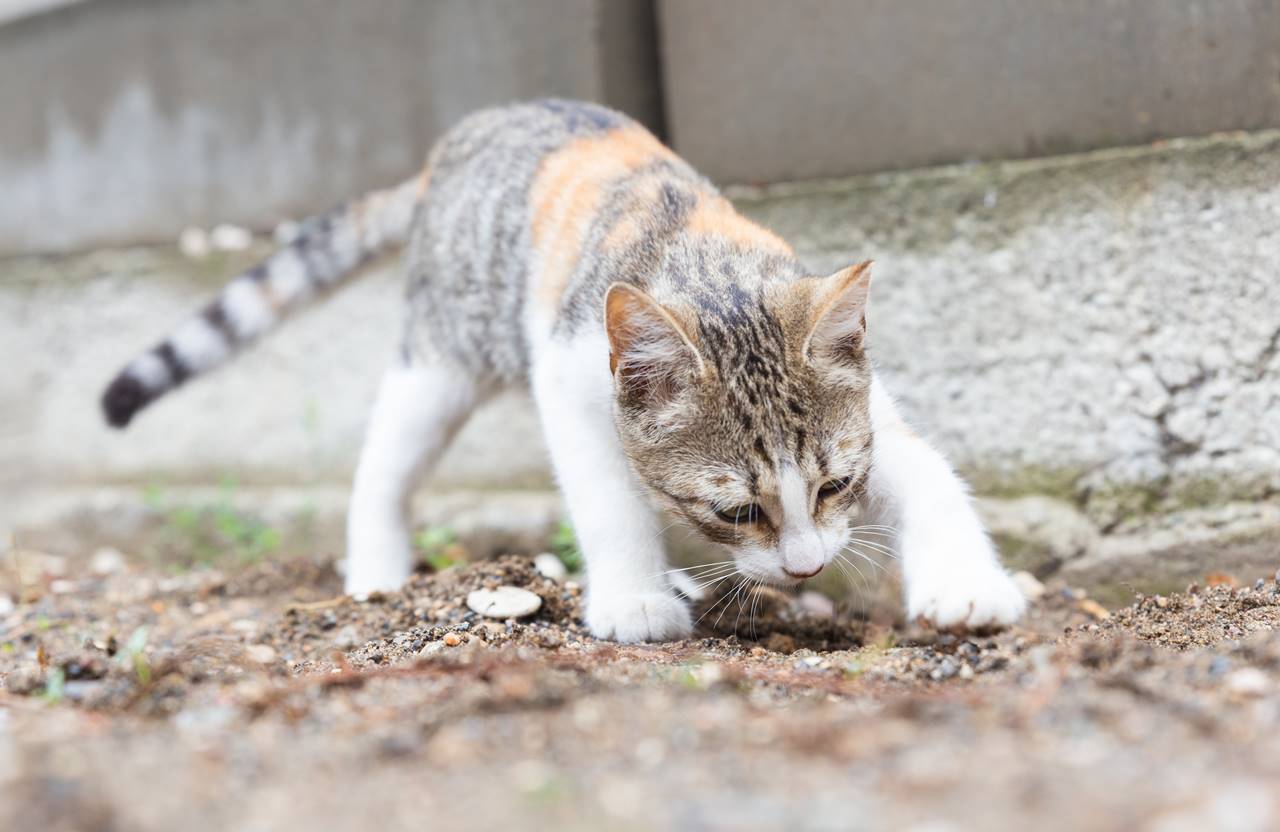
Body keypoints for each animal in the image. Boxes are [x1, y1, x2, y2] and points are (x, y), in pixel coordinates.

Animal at [99, 98, 1024, 642]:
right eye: (737, 509)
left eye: (835, 486)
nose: (804, 569)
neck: (706, 268)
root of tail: (450, 149)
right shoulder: (571, 377)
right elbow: (610, 498)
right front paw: (634, 600)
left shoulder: (871, 410)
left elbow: (928, 472)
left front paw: (968, 584)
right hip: (441, 357)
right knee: (383, 468)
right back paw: (376, 573)